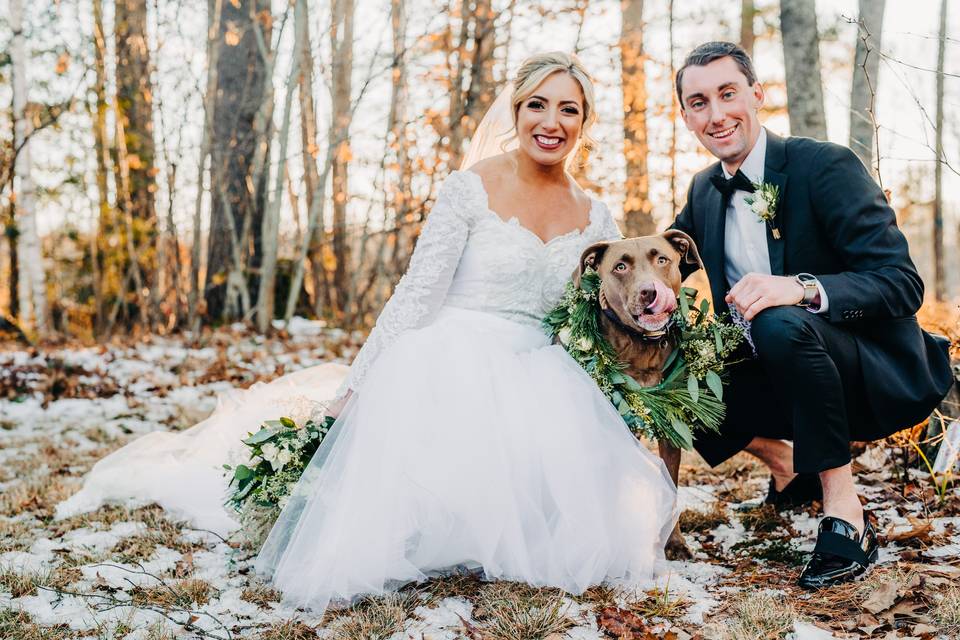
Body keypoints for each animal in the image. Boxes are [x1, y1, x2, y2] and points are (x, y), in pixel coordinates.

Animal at [572, 231, 700, 560]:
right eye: (620, 267)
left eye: (662, 259)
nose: (649, 292)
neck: (643, 347)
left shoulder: (671, 430)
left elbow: (671, 486)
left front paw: (674, 543)